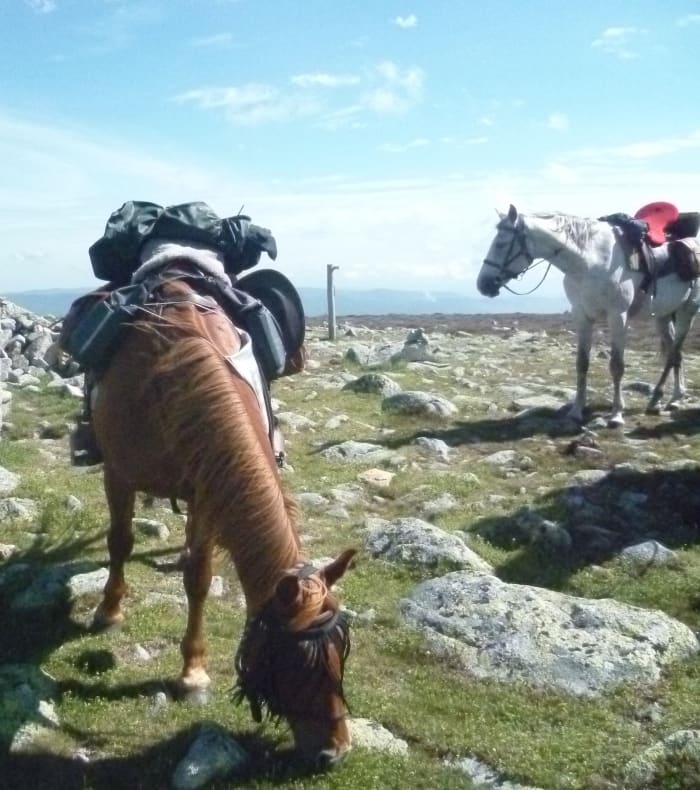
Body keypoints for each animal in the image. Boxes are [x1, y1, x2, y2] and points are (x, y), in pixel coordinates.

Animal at [88, 265, 357, 769]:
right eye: (293, 664)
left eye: (339, 658)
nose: (334, 752)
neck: (172, 373)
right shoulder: (118, 472)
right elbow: (120, 542)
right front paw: (109, 610)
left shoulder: (206, 489)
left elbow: (199, 576)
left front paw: (193, 672)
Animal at [477, 204, 700, 426]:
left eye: (501, 243)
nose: (483, 285)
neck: (589, 261)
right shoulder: (582, 316)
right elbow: (582, 363)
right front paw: (576, 410)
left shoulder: (617, 316)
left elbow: (617, 365)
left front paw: (616, 414)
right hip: (663, 315)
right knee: (674, 352)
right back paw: (671, 397)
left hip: (687, 311)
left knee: (674, 352)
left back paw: (665, 399)